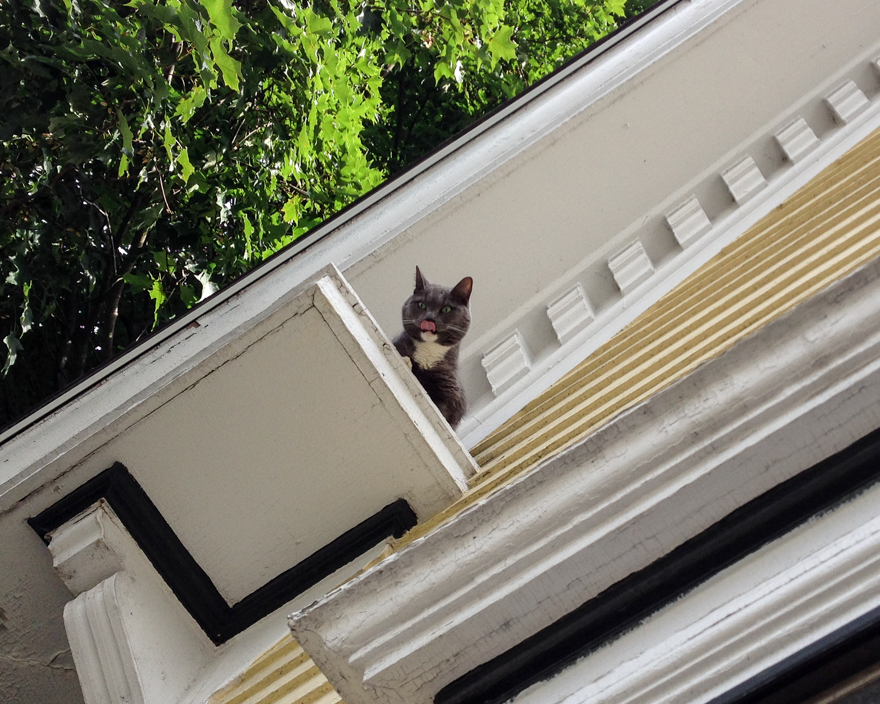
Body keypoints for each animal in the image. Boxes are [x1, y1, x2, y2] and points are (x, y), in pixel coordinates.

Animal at [394, 266, 470, 426]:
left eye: (446, 309)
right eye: (421, 305)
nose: (429, 318)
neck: (428, 353)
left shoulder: (452, 397)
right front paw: (406, 362)